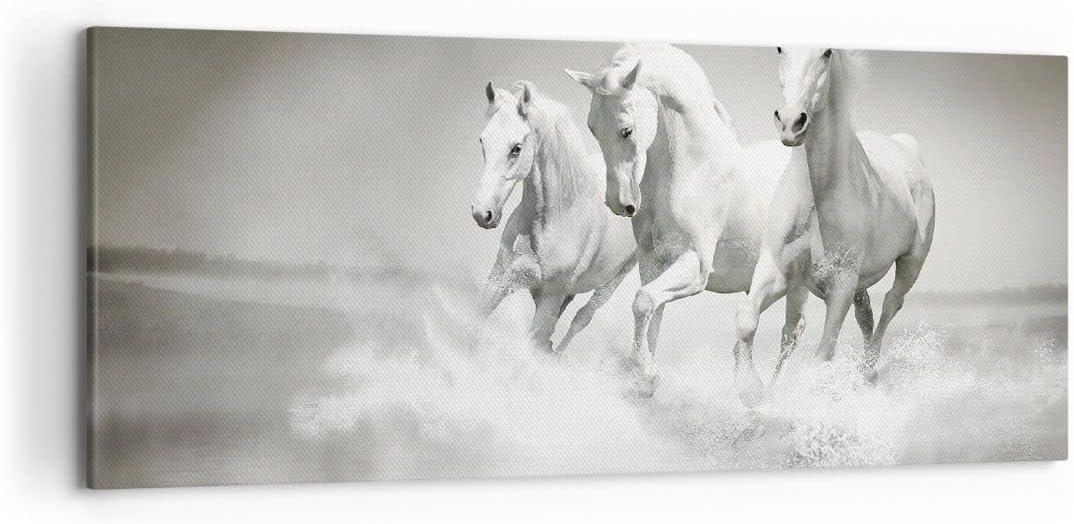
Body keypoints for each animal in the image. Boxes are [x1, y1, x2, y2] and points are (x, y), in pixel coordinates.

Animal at [471, 80, 637, 355]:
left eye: (516, 148)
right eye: (483, 142)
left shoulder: (550, 297)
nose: (482, 214)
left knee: (582, 318)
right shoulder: (500, 278)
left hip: (615, 279)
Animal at [565, 43, 808, 402]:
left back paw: (762, 396)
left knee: (791, 333)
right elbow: (651, 311)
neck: (693, 170)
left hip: (798, 282)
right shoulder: (652, 263)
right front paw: (644, 379)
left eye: (627, 129)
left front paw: (647, 373)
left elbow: (643, 302)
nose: (618, 203)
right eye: (592, 127)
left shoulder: (695, 265)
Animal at [757, 47, 935, 377]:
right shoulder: (780, 270)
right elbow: (758, 325)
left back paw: (868, 372)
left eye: (827, 52)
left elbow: (822, 355)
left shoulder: (841, 284)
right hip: (860, 283)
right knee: (865, 314)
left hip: (911, 261)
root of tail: (906, 148)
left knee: (892, 303)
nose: (791, 123)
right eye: (779, 49)